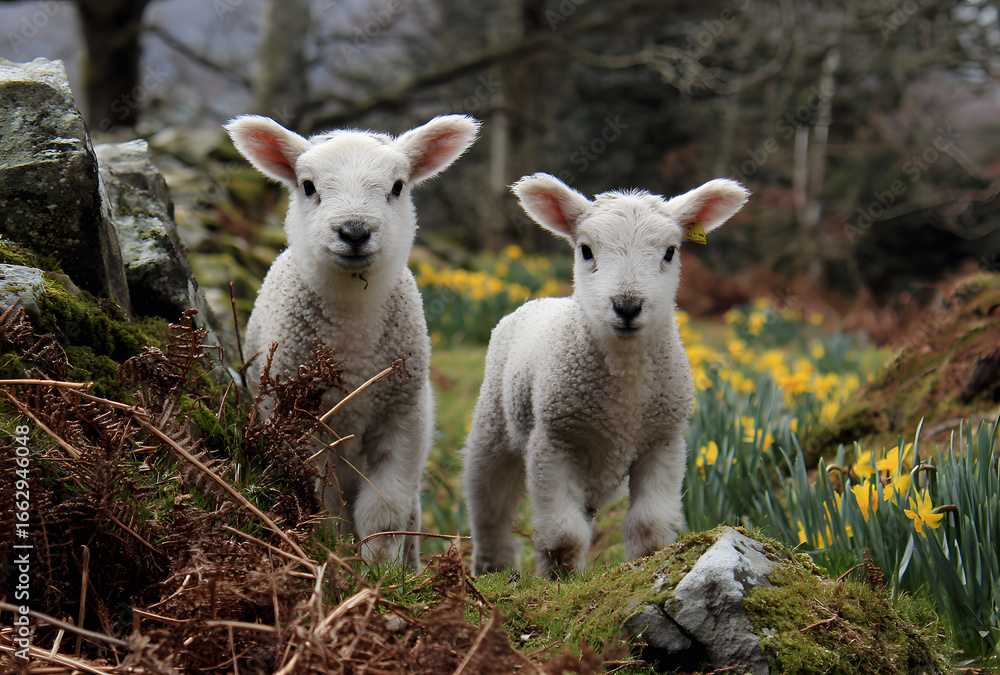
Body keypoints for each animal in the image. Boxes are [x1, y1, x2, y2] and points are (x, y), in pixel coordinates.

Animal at [225, 114, 480, 570]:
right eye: (308, 185)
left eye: (398, 186)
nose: (355, 231)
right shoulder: (302, 425)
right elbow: (326, 508)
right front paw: (336, 555)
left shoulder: (401, 416)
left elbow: (383, 511)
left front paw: (382, 570)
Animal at [463, 173, 749, 577]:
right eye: (586, 250)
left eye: (670, 252)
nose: (627, 307)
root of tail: (543, 300)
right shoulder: (554, 442)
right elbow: (563, 536)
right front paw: (560, 579)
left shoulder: (663, 441)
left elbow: (649, 526)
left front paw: (645, 564)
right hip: (494, 423)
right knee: (488, 501)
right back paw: (494, 567)